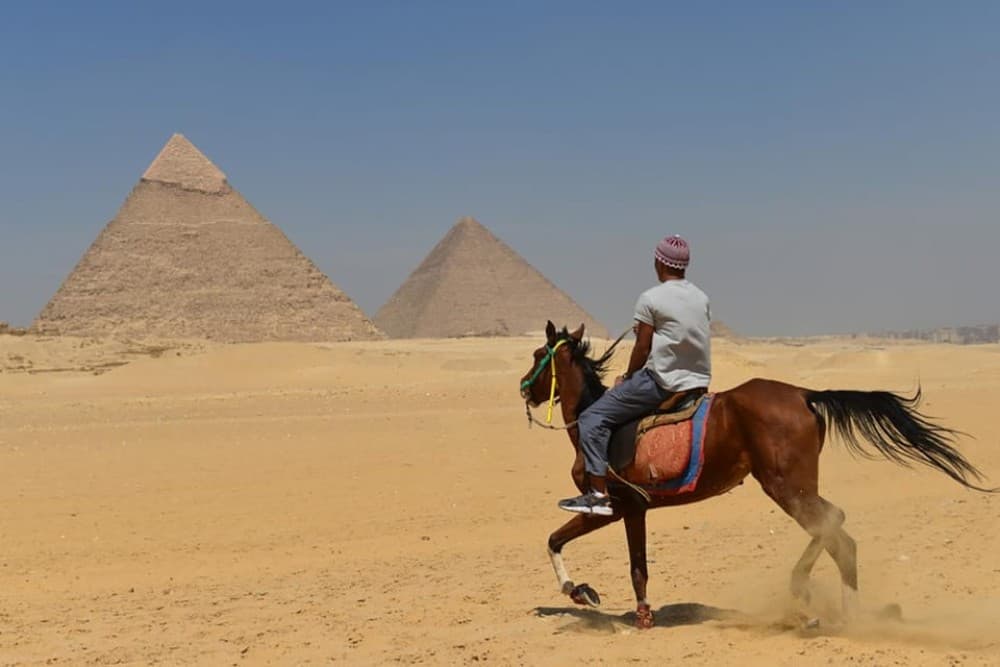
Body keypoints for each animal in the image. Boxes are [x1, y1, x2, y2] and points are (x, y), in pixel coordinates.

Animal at [519, 321, 996, 629]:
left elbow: (575, 546)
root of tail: (805, 394)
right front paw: (602, 598)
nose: (524, 387)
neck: (589, 418)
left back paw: (814, 601)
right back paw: (846, 613)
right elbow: (600, 554)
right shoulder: (631, 509)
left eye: (538, 355)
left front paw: (599, 599)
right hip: (793, 486)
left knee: (834, 528)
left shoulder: (616, 506)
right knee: (840, 532)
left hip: (786, 487)